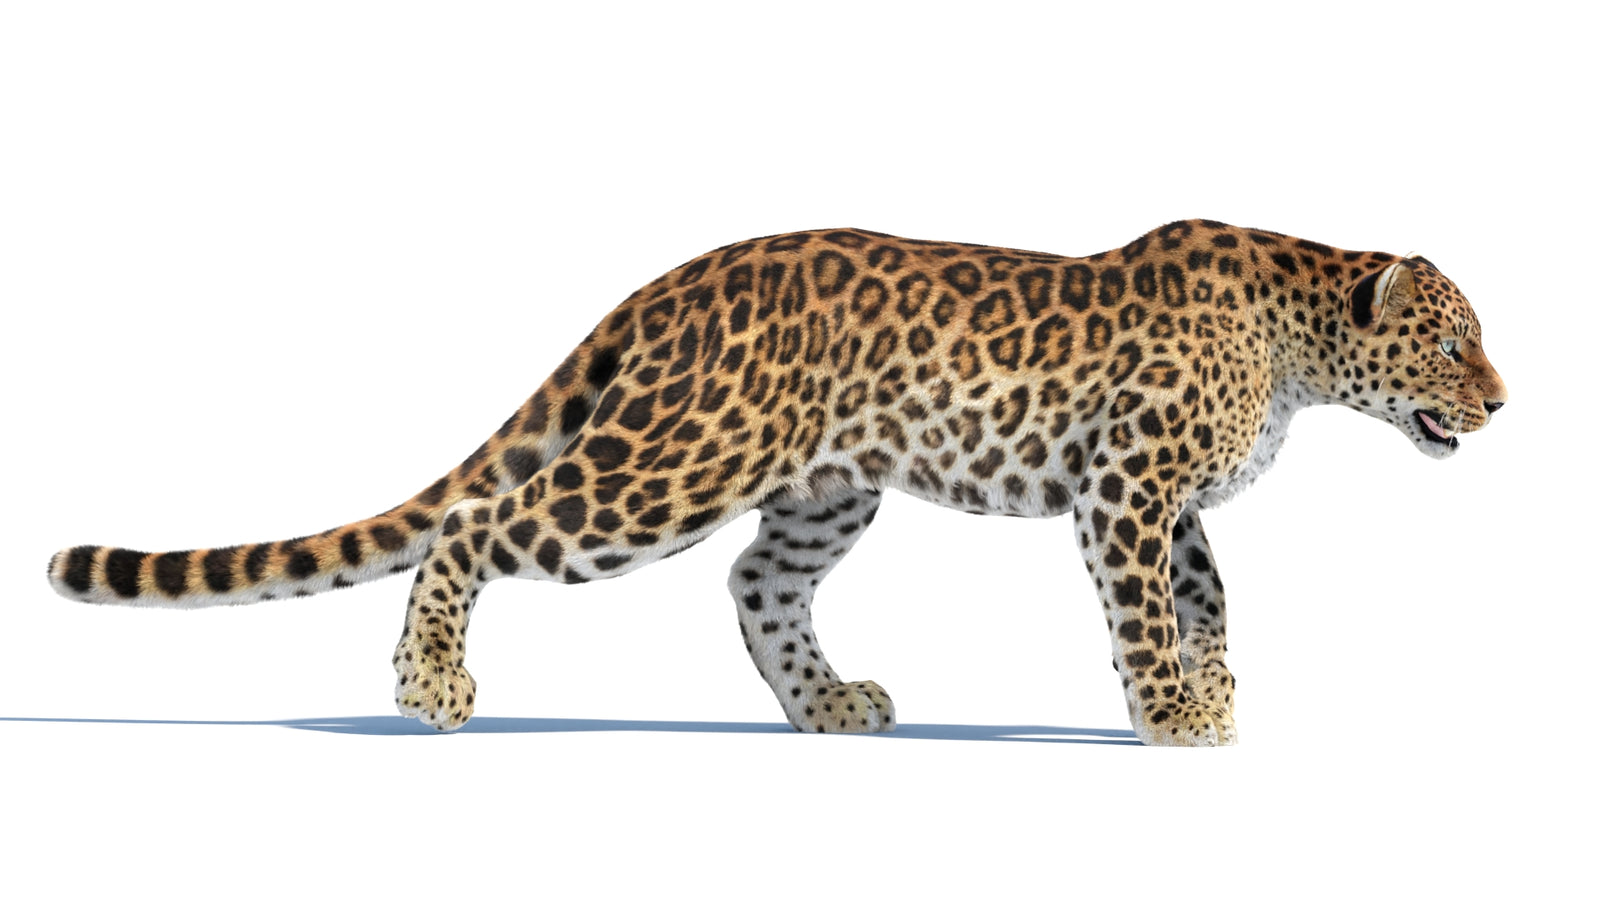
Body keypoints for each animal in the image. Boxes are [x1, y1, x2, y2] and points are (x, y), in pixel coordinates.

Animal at [47, 220, 1507, 746]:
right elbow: (1149, 614)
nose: (1503, 402)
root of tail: (674, 280)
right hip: (669, 469)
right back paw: (432, 688)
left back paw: (832, 706)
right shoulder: (1130, 489)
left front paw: (1216, 693)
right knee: (478, 519)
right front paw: (1175, 717)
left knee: (760, 581)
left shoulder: (1176, 506)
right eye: (1452, 342)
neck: (1301, 345)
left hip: (825, 487)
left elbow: (1209, 601)